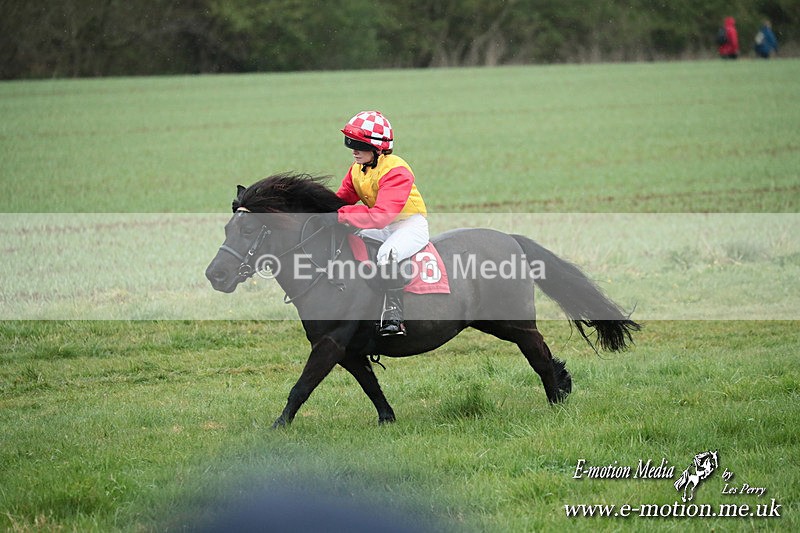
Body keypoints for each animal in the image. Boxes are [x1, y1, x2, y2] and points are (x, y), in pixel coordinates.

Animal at [205, 172, 640, 427]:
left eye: (248, 230)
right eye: (227, 227)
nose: (216, 275)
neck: (327, 268)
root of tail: (510, 239)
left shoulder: (330, 345)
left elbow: (301, 387)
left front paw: (277, 428)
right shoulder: (347, 350)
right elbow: (371, 386)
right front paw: (387, 420)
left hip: (514, 322)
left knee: (539, 354)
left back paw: (556, 400)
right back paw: (563, 386)